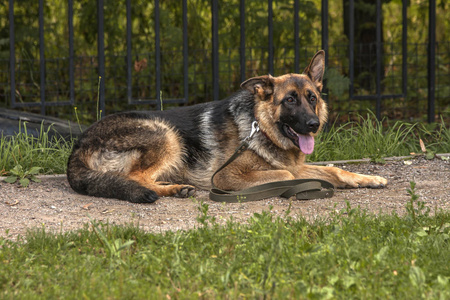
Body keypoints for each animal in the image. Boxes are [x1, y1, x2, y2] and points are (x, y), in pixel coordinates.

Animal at [67, 50, 386, 203]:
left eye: (312, 98)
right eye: (289, 100)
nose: (313, 124)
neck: (260, 127)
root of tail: (78, 146)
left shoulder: (300, 164)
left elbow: (333, 170)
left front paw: (368, 178)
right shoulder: (227, 176)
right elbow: (285, 173)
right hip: (166, 134)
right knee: (136, 178)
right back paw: (175, 189)